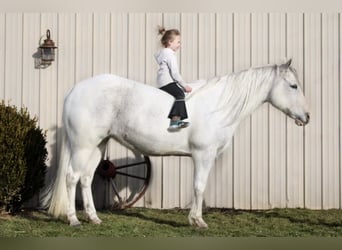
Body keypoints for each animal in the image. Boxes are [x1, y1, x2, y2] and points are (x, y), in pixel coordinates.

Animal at [46, 59, 310, 228]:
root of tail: (75, 90)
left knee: (86, 179)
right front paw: (198, 221)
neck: (218, 106)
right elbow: (199, 187)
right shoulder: (203, 155)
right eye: (293, 85)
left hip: (98, 145)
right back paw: (74, 219)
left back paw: (94, 218)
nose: (306, 117)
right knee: (72, 178)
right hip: (83, 145)